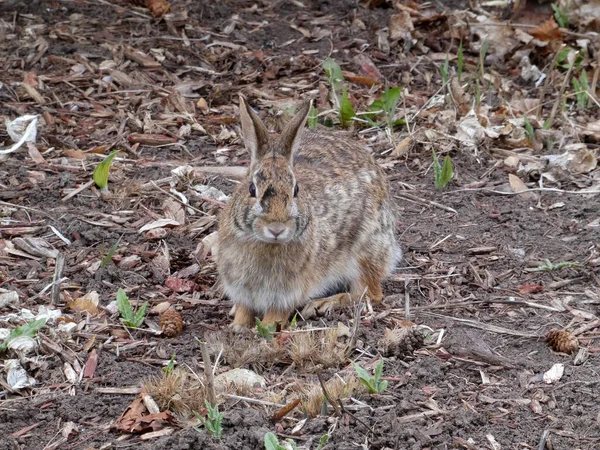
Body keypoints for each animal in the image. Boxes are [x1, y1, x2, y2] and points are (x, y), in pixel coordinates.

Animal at [216, 94, 404, 330]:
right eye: (252, 189)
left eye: (295, 190)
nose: (276, 228)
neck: (264, 244)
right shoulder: (241, 288)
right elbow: (244, 309)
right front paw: (238, 327)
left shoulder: (286, 292)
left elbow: (276, 315)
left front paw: (264, 328)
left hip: (365, 251)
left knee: (369, 293)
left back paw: (322, 304)